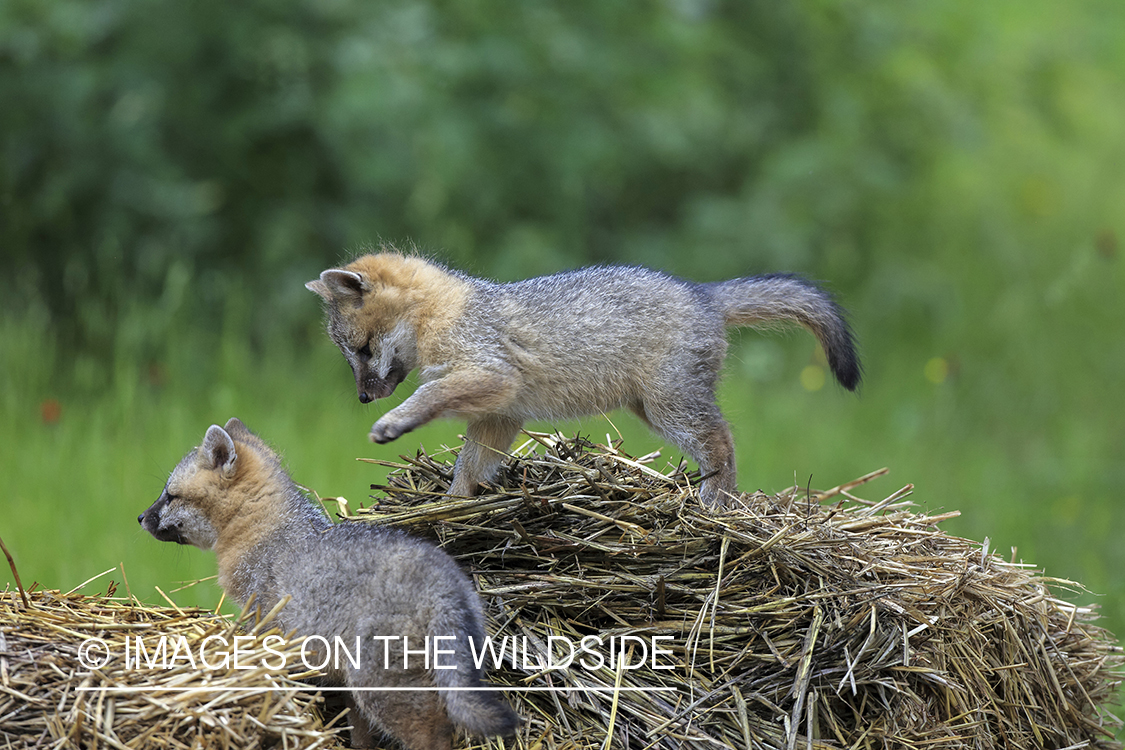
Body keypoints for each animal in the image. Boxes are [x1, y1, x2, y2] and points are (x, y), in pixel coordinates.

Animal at [138, 418, 520, 750]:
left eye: (170, 496)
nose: (140, 517)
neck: (266, 531)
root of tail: (444, 582)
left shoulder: (269, 628)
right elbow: (359, 733)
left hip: (381, 688)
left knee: (433, 735)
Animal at [307, 249, 860, 507]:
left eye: (362, 350)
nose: (363, 398)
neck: (450, 310)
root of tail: (703, 292)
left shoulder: (489, 374)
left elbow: (431, 393)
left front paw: (394, 423)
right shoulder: (500, 416)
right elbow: (470, 467)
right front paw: (450, 507)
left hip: (671, 409)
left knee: (722, 442)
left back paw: (714, 507)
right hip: (652, 410)